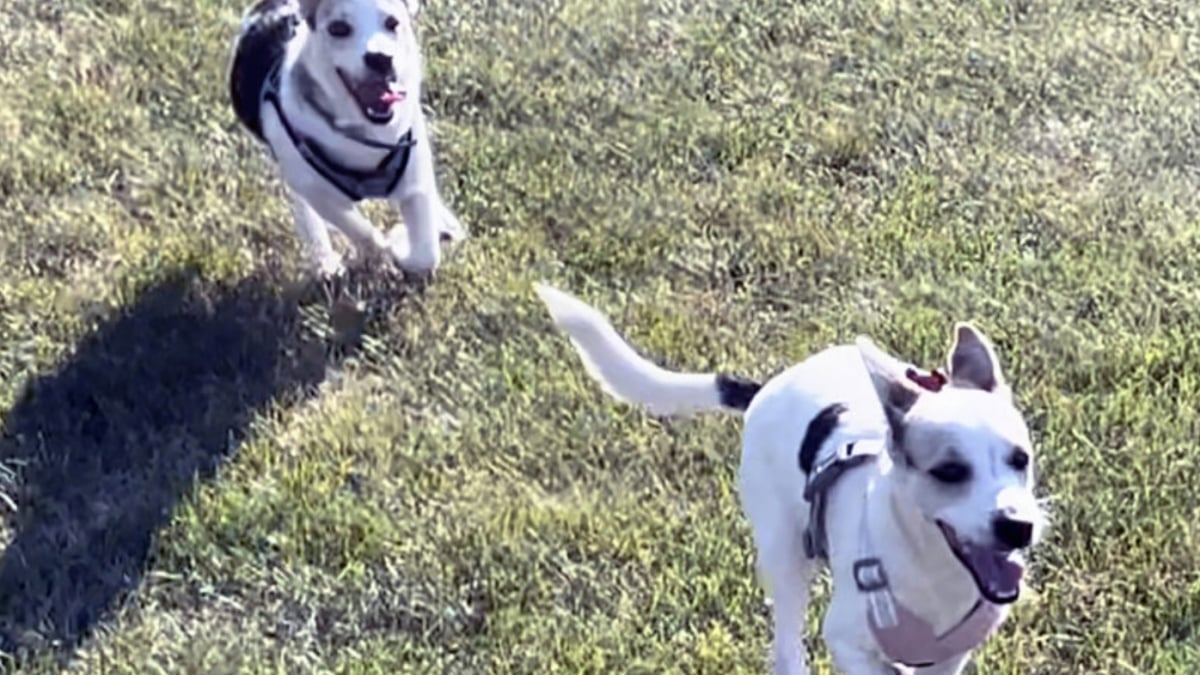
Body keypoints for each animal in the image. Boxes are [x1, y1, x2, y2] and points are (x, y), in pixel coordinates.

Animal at [226, 0, 465, 278]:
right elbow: (359, 230)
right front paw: (388, 246)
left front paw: (405, 243)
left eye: (393, 23)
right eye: (338, 29)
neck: (362, 134)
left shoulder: (415, 177)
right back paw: (323, 258)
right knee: (305, 208)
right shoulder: (317, 191)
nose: (380, 58)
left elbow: (426, 254)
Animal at [537, 282, 1051, 672]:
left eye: (1020, 459)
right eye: (949, 471)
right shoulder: (846, 641)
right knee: (786, 649)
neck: (937, 571)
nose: (1017, 526)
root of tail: (766, 387)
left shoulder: (949, 658)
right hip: (784, 558)